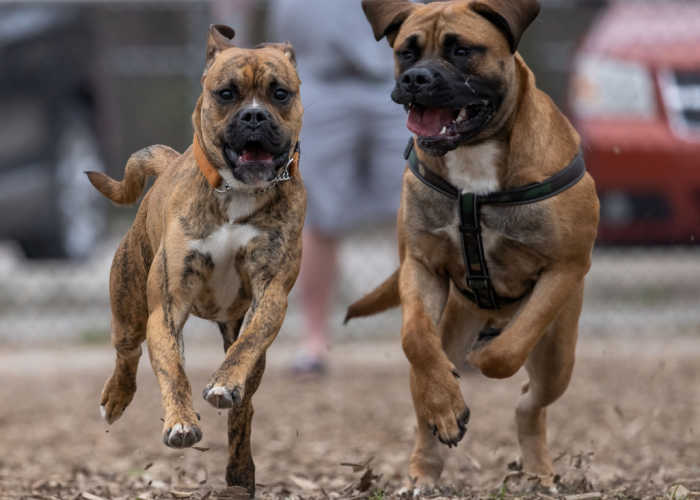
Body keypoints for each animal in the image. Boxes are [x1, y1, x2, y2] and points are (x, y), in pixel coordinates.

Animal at [86, 25, 304, 494]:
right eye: (226, 93)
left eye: (280, 93)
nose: (255, 117)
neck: (236, 190)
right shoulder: (167, 306)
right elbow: (173, 371)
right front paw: (181, 422)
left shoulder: (270, 293)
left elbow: (247, 346)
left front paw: (222, 383)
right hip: (128, 306)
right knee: (126, 355)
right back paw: (115, 398)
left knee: (245, 405)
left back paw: (239, 470)